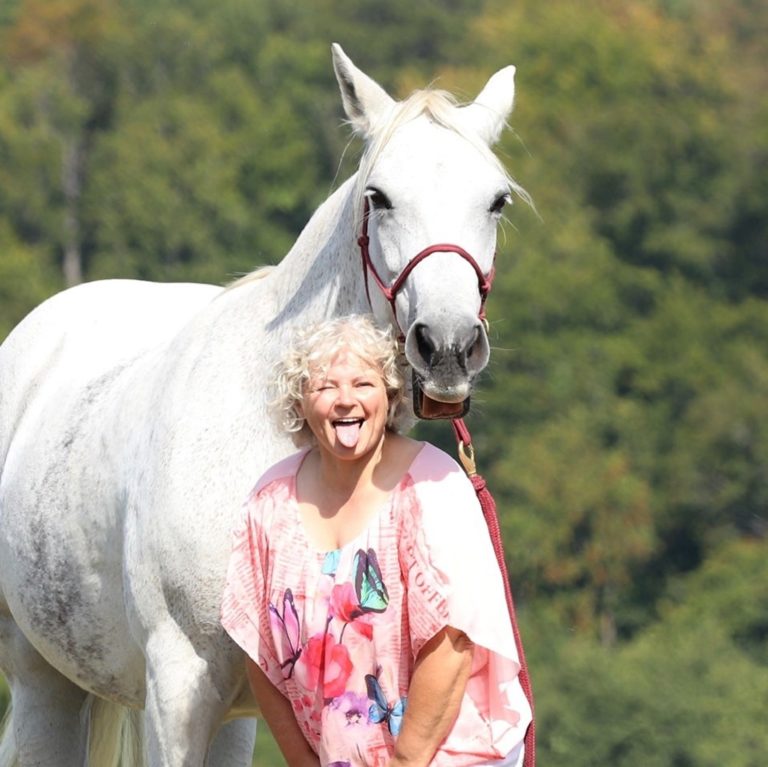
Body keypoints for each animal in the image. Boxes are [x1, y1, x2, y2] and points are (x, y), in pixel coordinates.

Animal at [0, 44, 523, 766]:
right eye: (379, 197)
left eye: (495, 200)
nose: (448, 344)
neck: (271, 434)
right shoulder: (179, 689)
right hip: (42, 681)